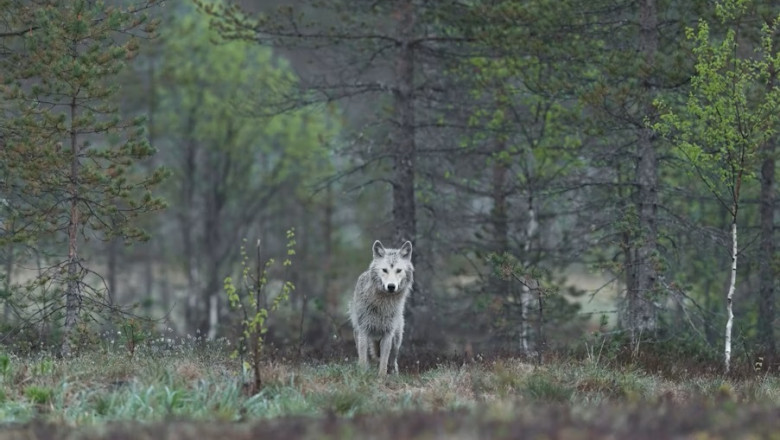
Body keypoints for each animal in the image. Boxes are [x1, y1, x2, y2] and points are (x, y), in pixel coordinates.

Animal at [349, 240, 413, 376]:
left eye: (398, 270)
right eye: (384, 270)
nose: (391, 286)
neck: (382, 304)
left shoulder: (388, 334)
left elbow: (384, 361)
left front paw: (381, 377)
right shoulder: (364, 331)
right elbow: (363, 360)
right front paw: (362, 375)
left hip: (396, 340)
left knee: (392, 360)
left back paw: (394, 374)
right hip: (359, 334)